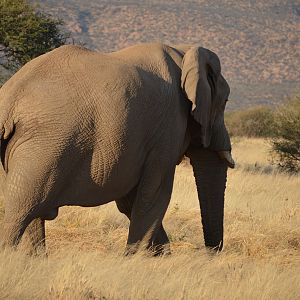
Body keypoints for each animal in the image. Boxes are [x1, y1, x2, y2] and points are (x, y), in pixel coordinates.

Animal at [0, 42, 234, 255]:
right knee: (22, 208)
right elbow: (154, 195)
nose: (209, 254)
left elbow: (131, 201)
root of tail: (9, 97)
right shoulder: (168, 128)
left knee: (31, 213)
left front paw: (159, 258)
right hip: (46, 145)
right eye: (225, 101)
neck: (184, 52)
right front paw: (138, 260)